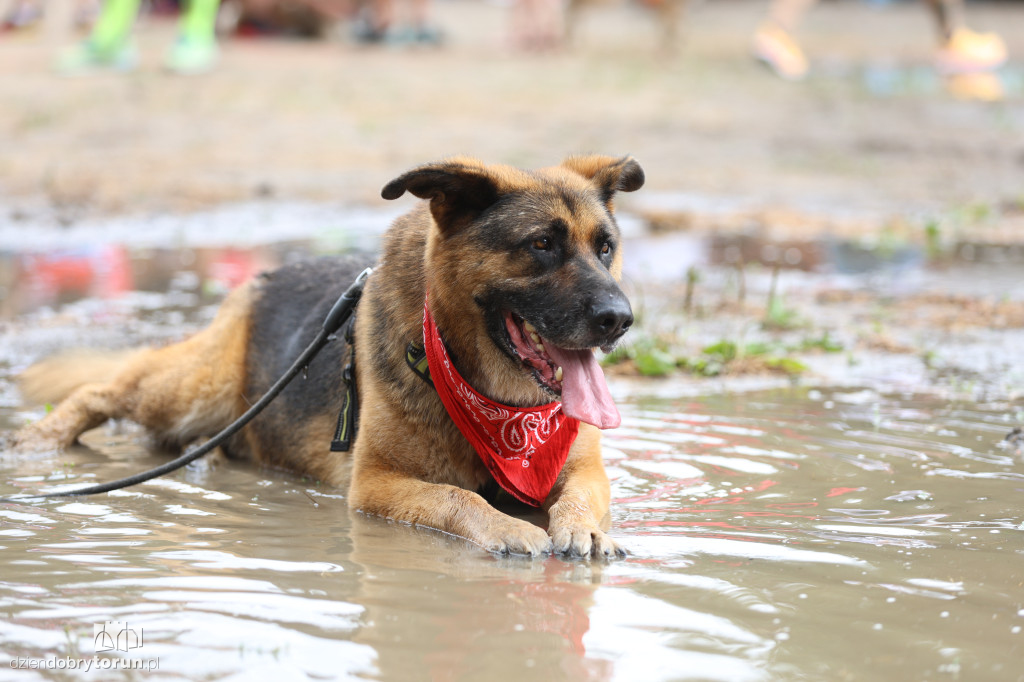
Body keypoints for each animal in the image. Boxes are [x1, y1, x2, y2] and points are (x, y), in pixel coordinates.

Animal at [12, 155, 643, 557]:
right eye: (542, 244)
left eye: (605, 248)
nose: (620, 319)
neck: (494, 402)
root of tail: (266, 275)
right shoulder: (376, 485)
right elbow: (457, 497)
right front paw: (507, 528)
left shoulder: (585, 469)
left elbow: (580, 499)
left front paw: (583, 529)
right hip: (192, 388)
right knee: (103, 389)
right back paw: (42, 441)